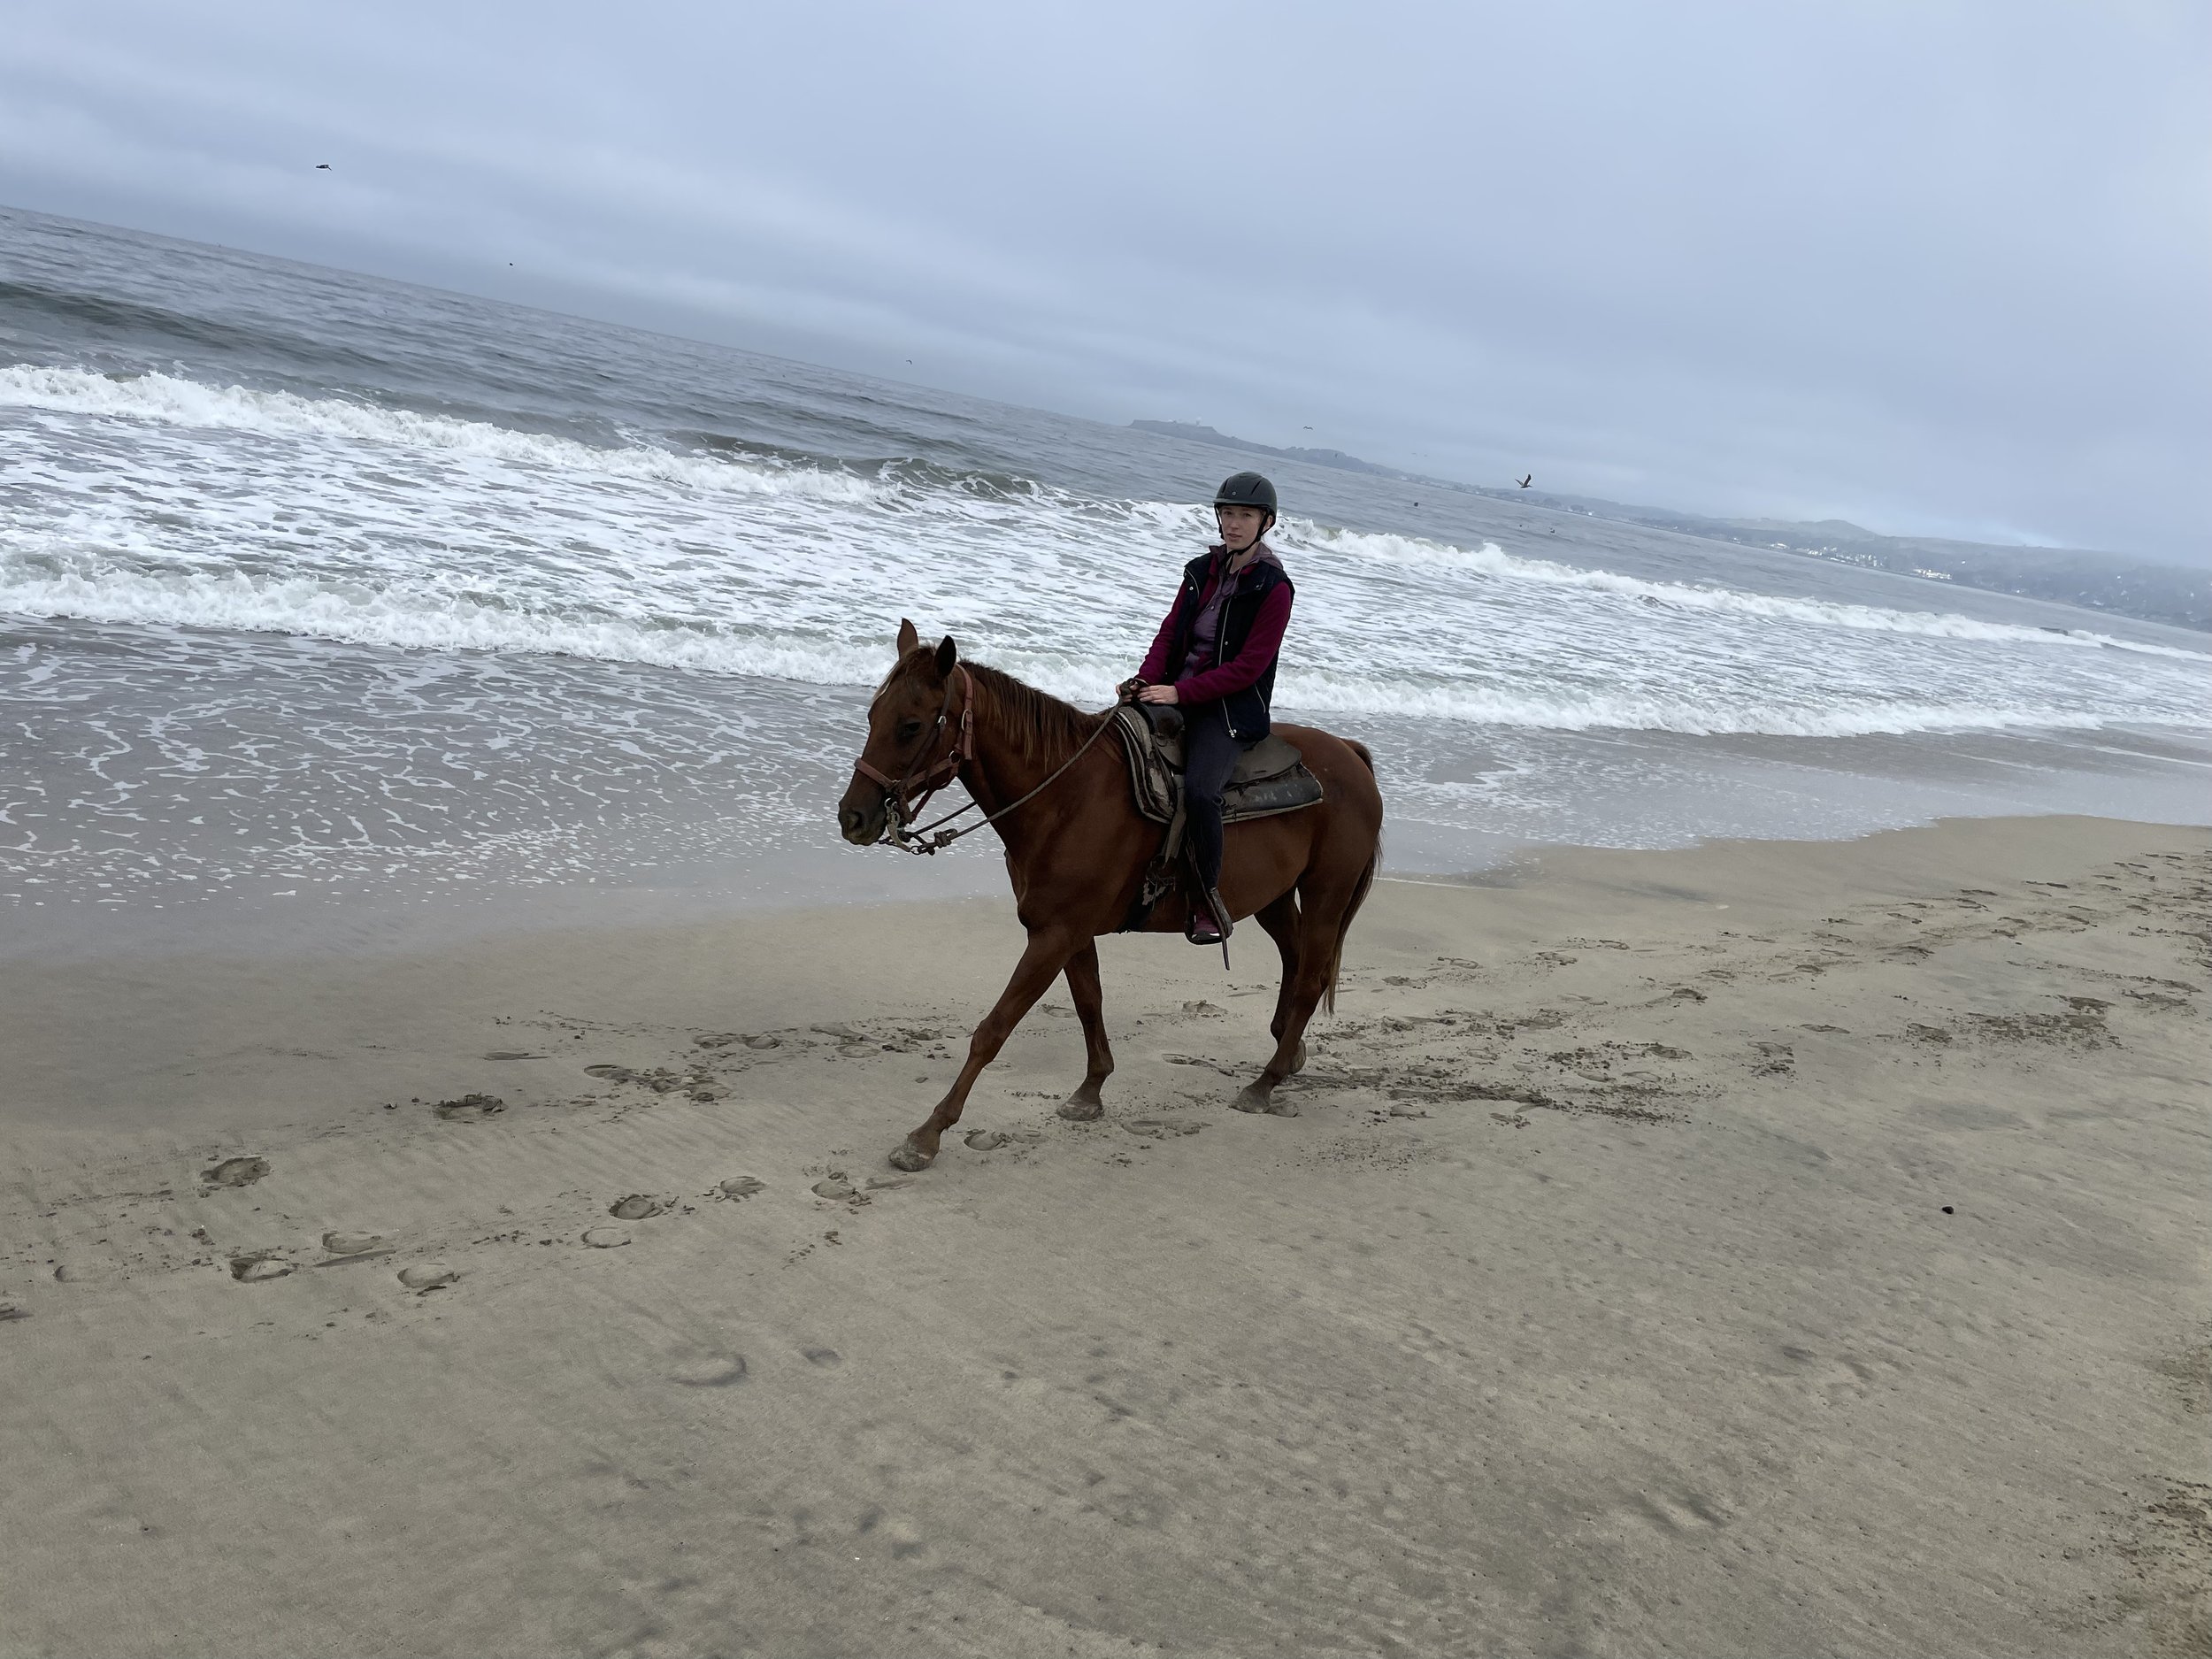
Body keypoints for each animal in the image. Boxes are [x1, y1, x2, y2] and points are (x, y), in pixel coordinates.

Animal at [841, 619, 1380, 1177]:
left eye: (910, 726)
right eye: (873, 716)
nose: (852, 817)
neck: (1066, 797)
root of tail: (1350, 754)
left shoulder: (1054, 935)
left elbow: (994, 1029)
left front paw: (927, 1134)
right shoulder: (1066, 931)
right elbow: (1088, 1002)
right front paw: (1091, 1091)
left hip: (1327, 893)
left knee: (1312, 978)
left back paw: (1265, 1083)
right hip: (1271, 897)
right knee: (1296, 960)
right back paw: (1287, 1054)